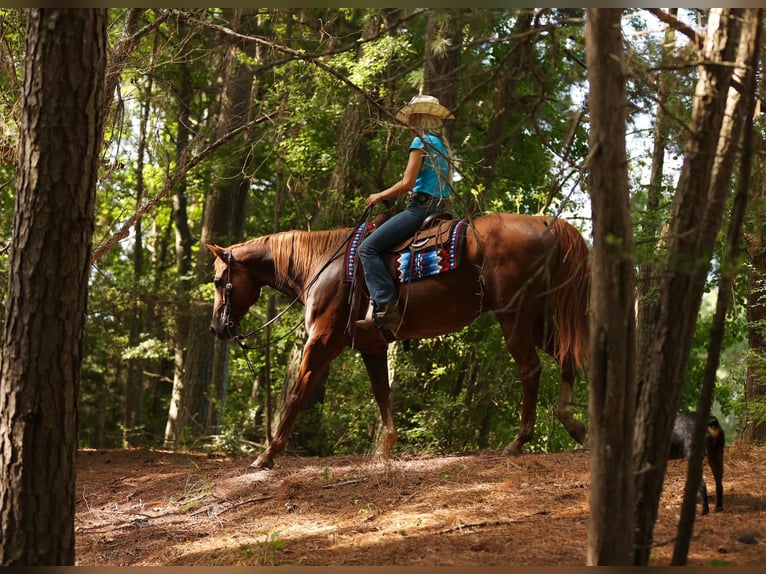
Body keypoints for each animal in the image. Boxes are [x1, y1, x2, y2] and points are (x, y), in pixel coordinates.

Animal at [207, 214, 592, 470]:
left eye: (218, 281)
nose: (215, 329)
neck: (321, 266)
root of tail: (548, 224)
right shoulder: (372, 345)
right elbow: (382, 392)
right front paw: (384, 449)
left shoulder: (320, 343)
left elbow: (296, 395)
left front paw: (267, 454)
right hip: (540, 318)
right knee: (567, 357)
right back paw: (576, 427)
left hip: (514, 315)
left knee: (530, 369)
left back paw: (519, 441)